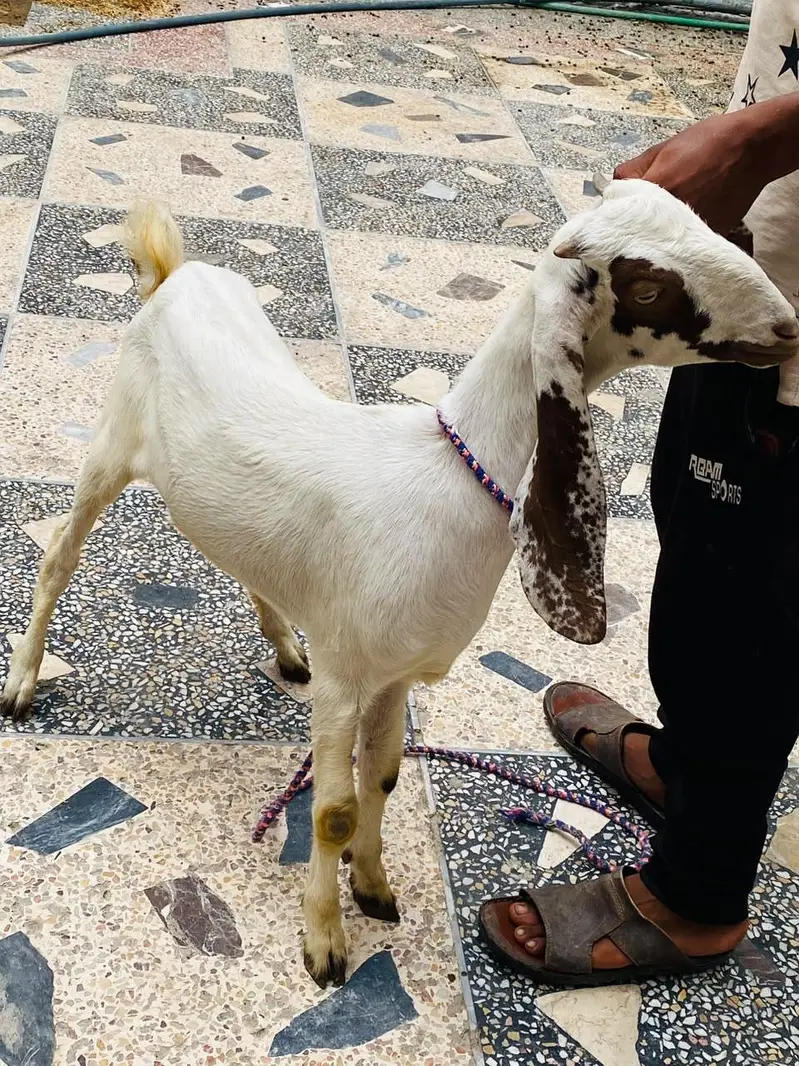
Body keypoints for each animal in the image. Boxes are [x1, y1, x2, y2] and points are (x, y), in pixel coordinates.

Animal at [3, 181, 797, 988]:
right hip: (108, 448)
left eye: (708, 223)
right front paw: (324, 942)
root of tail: (174, 275)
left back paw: (283, 643)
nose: (786, 326)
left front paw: (375, 886)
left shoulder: (394, 677)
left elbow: (381, 777)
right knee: (56, 559)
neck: (447, 476)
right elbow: (333, 812)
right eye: (646, 286)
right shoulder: (345, 679)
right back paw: (23, 683)